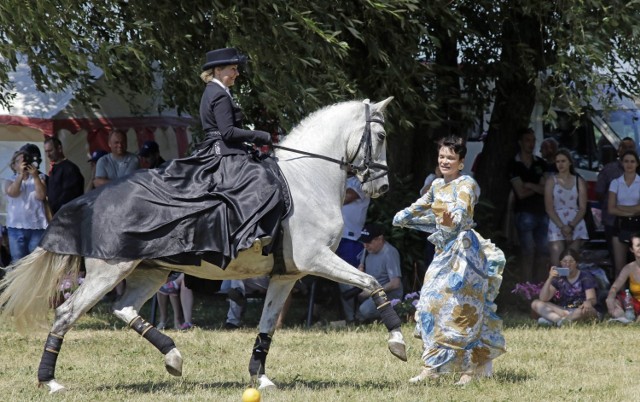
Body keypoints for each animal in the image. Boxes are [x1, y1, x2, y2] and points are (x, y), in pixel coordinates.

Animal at [0, 96, 408, 392]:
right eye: (382, 137)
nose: (382, 187)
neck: (309, 179)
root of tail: (85, 205)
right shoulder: (318, 259)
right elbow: (372, 283)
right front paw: (398, 342)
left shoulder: (287, 275)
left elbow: (267, 326)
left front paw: (261, 378)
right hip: (108, 272)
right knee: (66, 314)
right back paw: (50, 381)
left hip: (150, 271)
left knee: (124, 309)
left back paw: (173, 357)